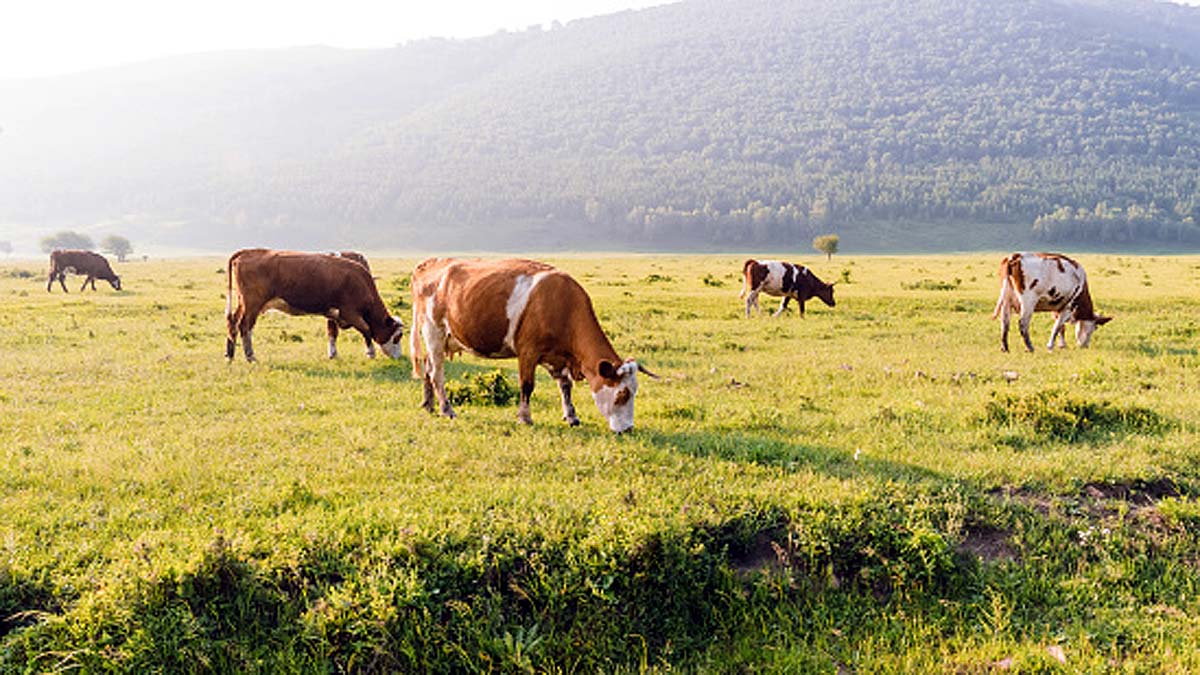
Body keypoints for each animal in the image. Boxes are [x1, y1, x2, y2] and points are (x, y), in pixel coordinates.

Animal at [224, 248, 404, 362]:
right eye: (397, 336)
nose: (400, 357)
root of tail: (249, 251)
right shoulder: (349, 312)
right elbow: (366, 330)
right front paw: (370, 353)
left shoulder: (334, 313)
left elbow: (332, 332)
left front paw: (333, 355)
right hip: (252, 304)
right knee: (244, 326)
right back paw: (250, 356)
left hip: (243, 302)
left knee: (233, 322)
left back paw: (230, 355)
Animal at [409, 257, 655, 433]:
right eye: (622, 394)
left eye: (634, 392)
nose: (628, 429)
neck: (564, 306)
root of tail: (430, 263)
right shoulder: (528, 351)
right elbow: (527, 385)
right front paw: (525, 417)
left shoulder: (556, 356)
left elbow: (565, 386)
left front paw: (571, 416)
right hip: (433, 330)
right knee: (437, 373)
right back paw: (446, 408)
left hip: (441, 337)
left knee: (428, 368)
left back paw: (429, 404)